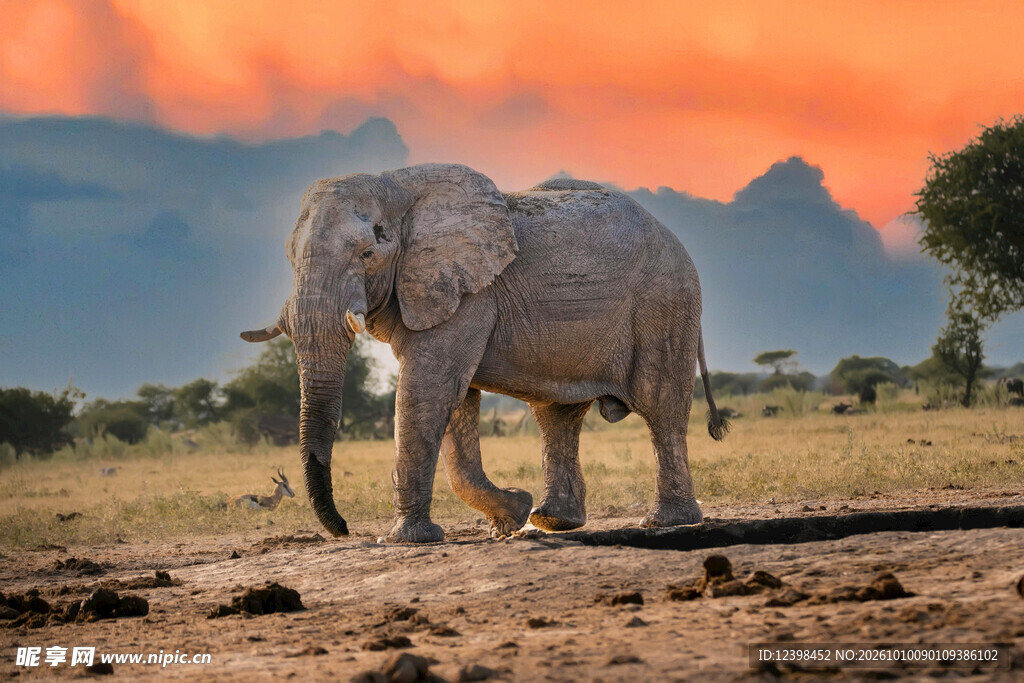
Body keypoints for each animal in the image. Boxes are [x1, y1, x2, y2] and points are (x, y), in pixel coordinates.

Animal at [241, 164, 728, 543]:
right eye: (290, 258)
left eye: (367, 253)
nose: (344, 529)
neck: (397, 188)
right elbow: (457, 402)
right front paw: (511, 516)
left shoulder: (470, 294)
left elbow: (428, 391)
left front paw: (406, 540)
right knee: (556, 415)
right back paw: (552, 520)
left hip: (665, 304)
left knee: (659, 404)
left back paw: (664, 522)